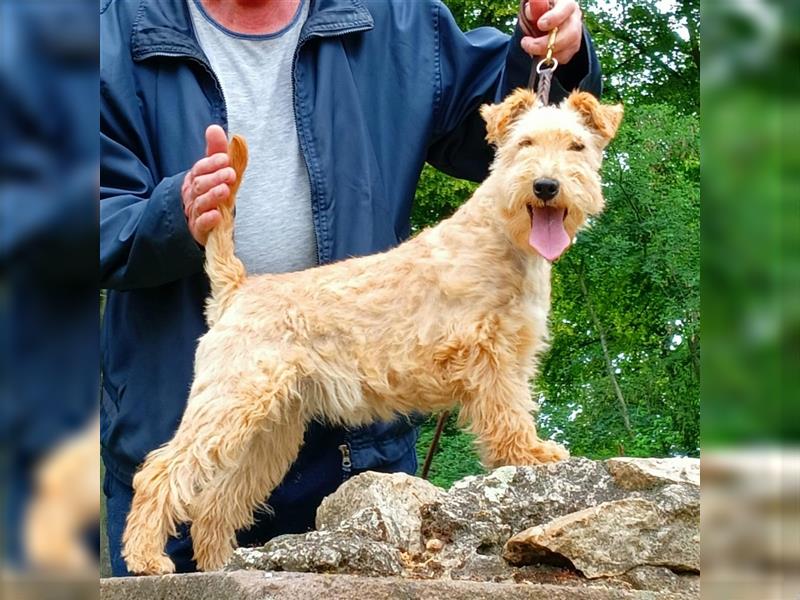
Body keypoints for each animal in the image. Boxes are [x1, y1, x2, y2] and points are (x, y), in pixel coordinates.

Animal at [123, 88, 624, 572]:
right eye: (525, 144)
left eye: (577, 146)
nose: (546, 186)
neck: (502, 234)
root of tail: (237, 286)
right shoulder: (489, 356)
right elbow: (509, 416)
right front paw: (530, 456)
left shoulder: (510, 356)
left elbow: (512, 411)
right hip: (230, 402)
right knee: (161, 470)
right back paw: (147, 557)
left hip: (270, 428)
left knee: (215, 501)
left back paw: (221, 565)